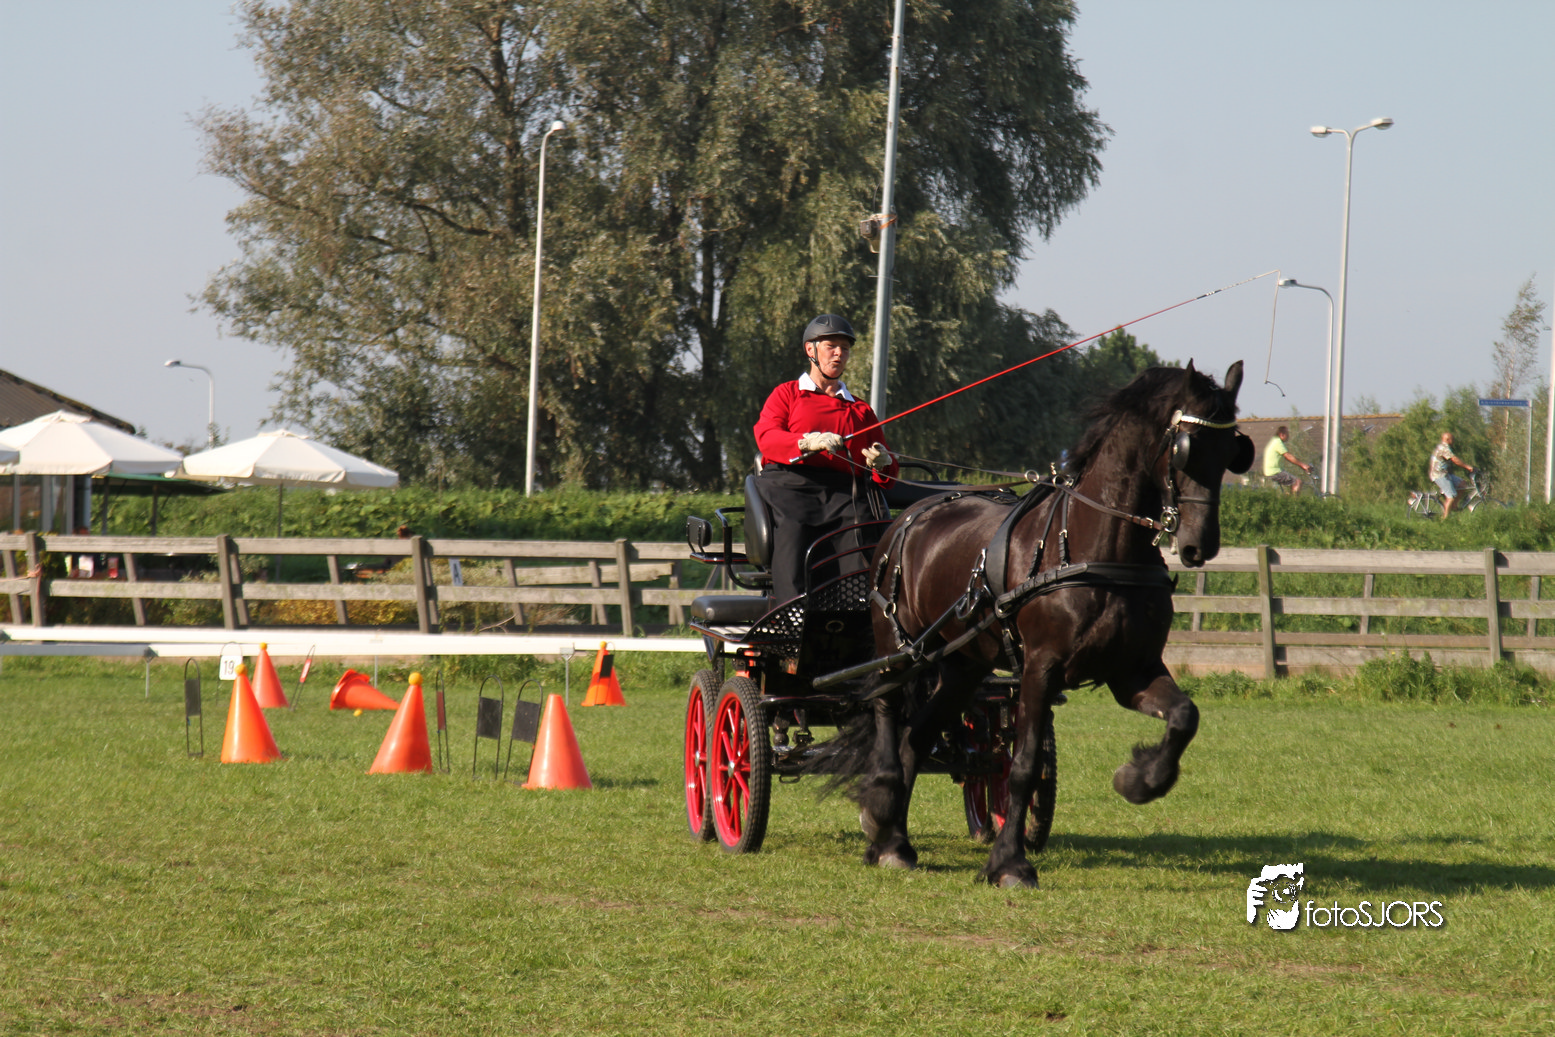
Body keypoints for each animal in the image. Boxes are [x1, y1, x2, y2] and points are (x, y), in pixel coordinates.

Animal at [816, 360, 1254, 888]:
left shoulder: (1133, 670)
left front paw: (1139, 779)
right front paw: (1009, 863)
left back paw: (894, 842)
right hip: (897, 648)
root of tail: (909, 516)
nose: (1198, 545)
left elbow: (1184, 716)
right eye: (1186, 448)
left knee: (915, 738)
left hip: (962, 667)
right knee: (887, 711)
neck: (1094, 549)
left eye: (1233, 452)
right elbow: (1024, 766)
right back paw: (880, 807)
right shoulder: (1040, 669)